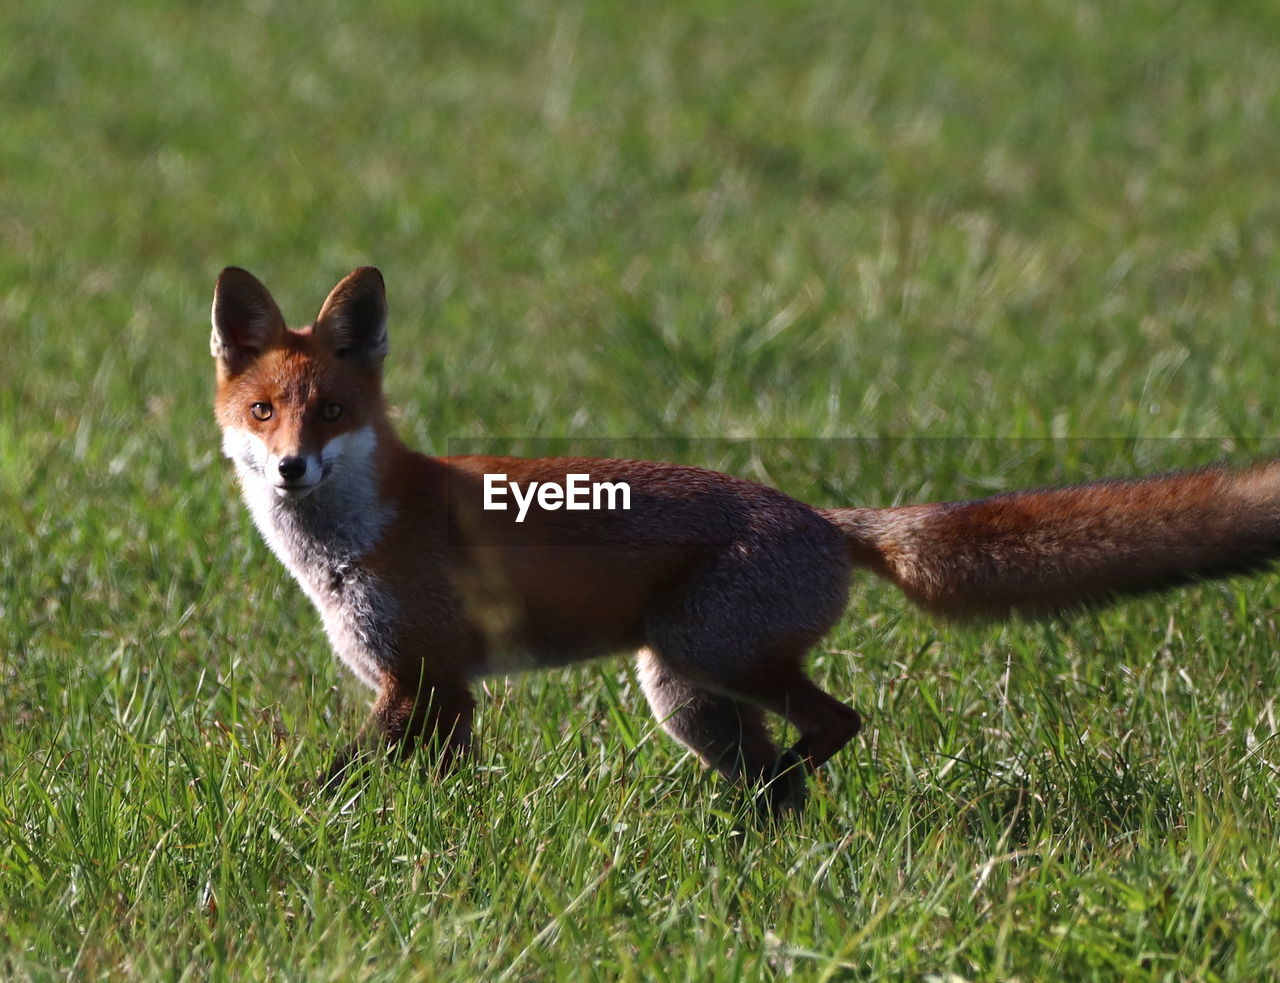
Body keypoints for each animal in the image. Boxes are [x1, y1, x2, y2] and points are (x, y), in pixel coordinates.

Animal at [215, 264, 1280, 808]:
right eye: (265, 410)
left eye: (332, 410)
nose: (291, 467)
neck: (355, 540)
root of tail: (829, 519)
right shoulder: (441, 693)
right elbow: (437, 793)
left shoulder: (425, 679)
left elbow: (332, 782)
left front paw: (289, 821)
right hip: (687, 690)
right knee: (792, 763)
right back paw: (754, 827)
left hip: (708, 651)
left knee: (839, 724)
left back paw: (741, 812)